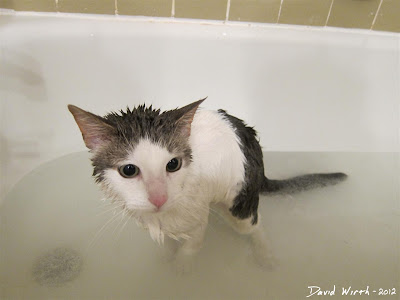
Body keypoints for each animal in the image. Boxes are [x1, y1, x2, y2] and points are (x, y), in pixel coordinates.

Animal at [67, 98, 346, 272]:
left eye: (173, 165)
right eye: (129, 170)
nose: (159, 197)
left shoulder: (198, 212)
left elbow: (193, 243)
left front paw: (182, 265)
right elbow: (164, 243)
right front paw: (165, 257)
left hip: (239, 200)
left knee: (254, 226)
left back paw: (264, 254)